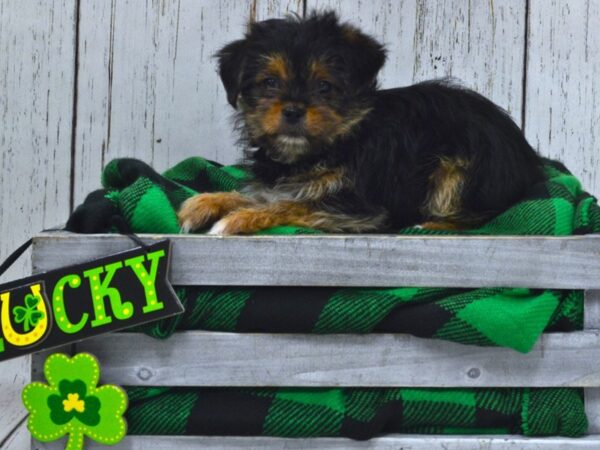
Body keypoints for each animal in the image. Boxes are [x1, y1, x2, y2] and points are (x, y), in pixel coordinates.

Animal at [177, 11, 544, 236]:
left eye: (324, 87)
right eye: (269, 83)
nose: (293, 110)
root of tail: (529, 159)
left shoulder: (359, 208)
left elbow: (291, 204)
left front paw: (236, 219)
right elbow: (263, 194)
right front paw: (207, 202)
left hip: (458, 169)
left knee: (485, 214)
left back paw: (432, 225)